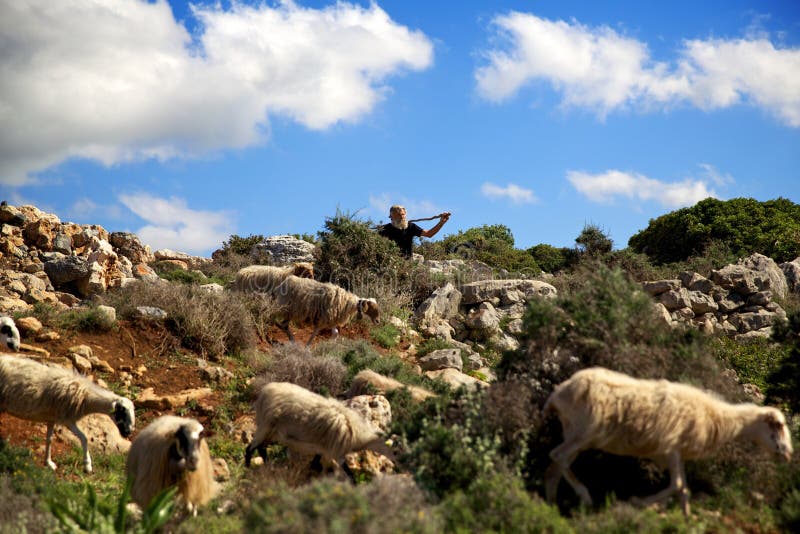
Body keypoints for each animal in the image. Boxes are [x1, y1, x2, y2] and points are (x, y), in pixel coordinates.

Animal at [0, 356, 135, 474]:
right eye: (122, 411)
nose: (128, 432)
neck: (85, 397)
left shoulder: (52, 417)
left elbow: (49, 439)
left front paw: (48, 463)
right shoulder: (67, 419)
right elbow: (84, 438)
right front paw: (87, 465)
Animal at [244, 382, 394, 474]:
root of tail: (266, 390)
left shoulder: (324, 448)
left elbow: (316, 460)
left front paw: (313, 469)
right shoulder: (336, 452)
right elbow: (348, 473)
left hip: (273, 432)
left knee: (261, 448)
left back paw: (267, 466)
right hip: (265, 425)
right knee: (250, 448)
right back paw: (247, 468)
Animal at [544, 368, 792, 516]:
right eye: (779, 425)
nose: (788, 454)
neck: (718, 418)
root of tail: (559, 393)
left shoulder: (677, 453)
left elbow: (683, 489)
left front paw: (686, 517)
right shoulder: (670, 448)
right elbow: (677, 486)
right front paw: (637, 502)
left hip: (575, 434)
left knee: (556, 465)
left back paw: (550, 504)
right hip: (584, 432)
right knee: (558, 456)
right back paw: (584, 496)